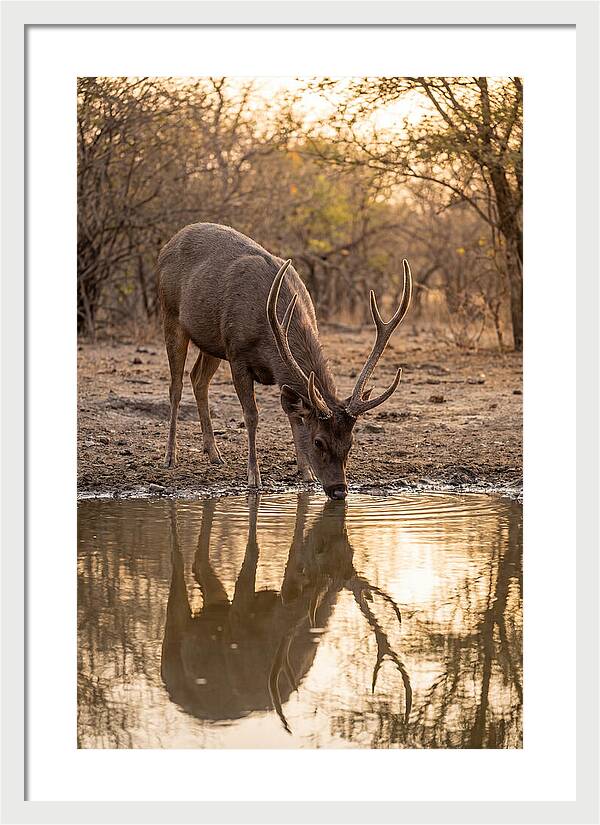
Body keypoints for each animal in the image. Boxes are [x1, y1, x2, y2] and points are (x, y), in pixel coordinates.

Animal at [157, 223, 412, 500]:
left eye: (351, 442)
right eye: (319, 441)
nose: (339, 490)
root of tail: (168, 244)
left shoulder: (271, 369)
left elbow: (294, 415)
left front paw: (306, 473)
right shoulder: (237, 354)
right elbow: (252, 415)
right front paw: (254, 477)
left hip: (211, 341)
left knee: (198, 379)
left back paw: (214, 454)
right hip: (171, 314)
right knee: (176, 386)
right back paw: (170, 457)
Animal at [161, 494, 412, 734]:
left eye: (351, 550)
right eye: (321, 549)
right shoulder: (236, 624)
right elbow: (255, 553)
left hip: (215, 606)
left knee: (199, 566)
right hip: (173, 647)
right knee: (178, 573)